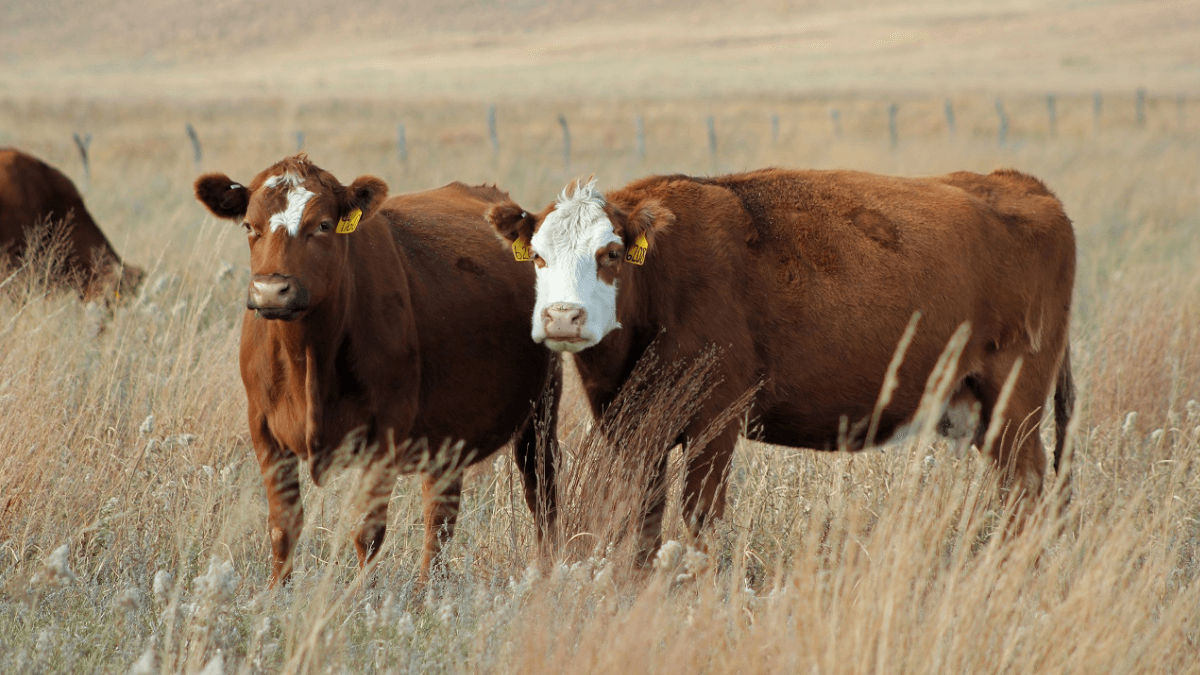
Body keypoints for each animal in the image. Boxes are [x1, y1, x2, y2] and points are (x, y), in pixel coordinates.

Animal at [194, 154, 559, 586]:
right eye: (250, 226)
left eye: (323, 225)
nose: (271, 291)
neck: (309, 359)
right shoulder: (263, 427)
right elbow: (283, 525)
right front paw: (273, 593)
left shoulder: (386, 431)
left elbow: (366, 530)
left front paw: (358, 596)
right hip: (450, 431)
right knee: (440, 513)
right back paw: (428, 587)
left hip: (541, 414)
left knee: (541, 492)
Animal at [487, 167, 1076, 562]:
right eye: (537, 256)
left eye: (609, 254)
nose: (564, 317)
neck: (662, 281)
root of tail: (1020, 184)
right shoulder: (634, 427)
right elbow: (644, 519)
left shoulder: (716, 421)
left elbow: (700, 520)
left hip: (1016, 406)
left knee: (1026, 490)